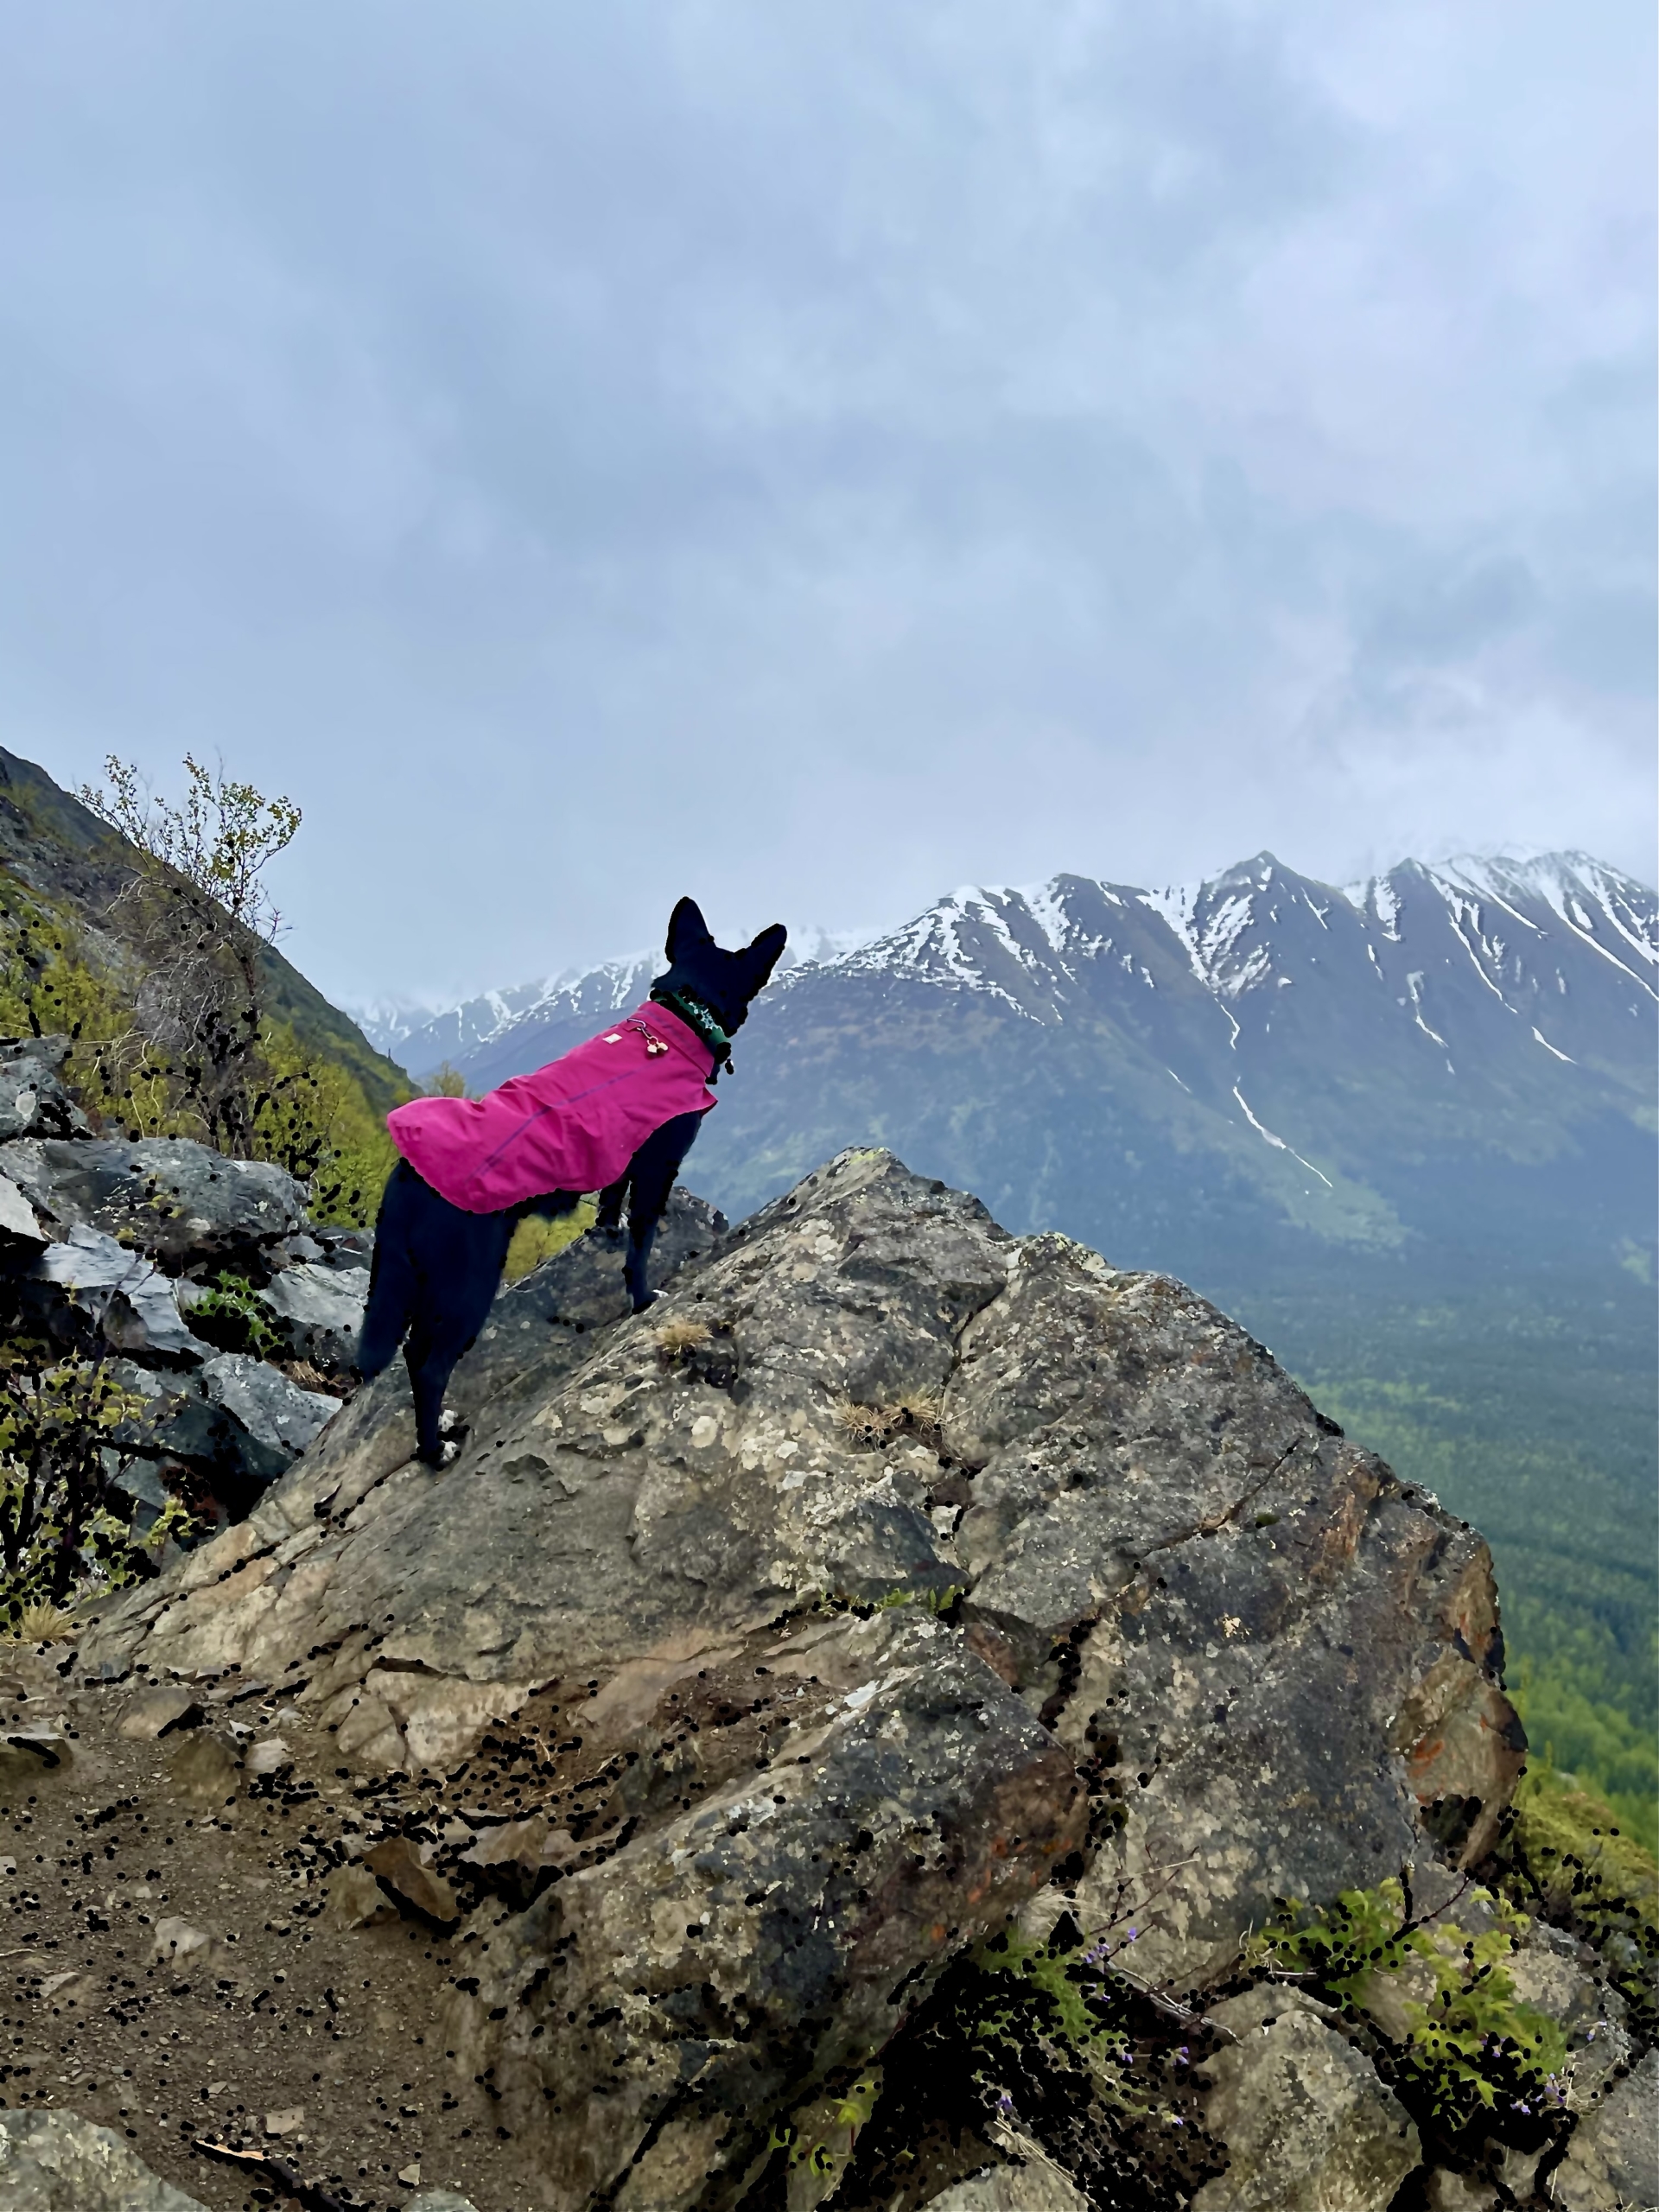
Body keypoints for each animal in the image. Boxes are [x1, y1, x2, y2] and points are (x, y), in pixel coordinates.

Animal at [358, 898, 787, 1468]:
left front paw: (605, 1227)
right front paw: (643, 1296)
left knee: (412, 1350)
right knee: (429, 1365)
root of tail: (408, 1170)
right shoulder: (658, 1165)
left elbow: (611, 1194)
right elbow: (641, 1244)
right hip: (468, 1283)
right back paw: (433, 1451)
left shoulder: (621, 1154)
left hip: (421, 1277)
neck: (678, 1020)